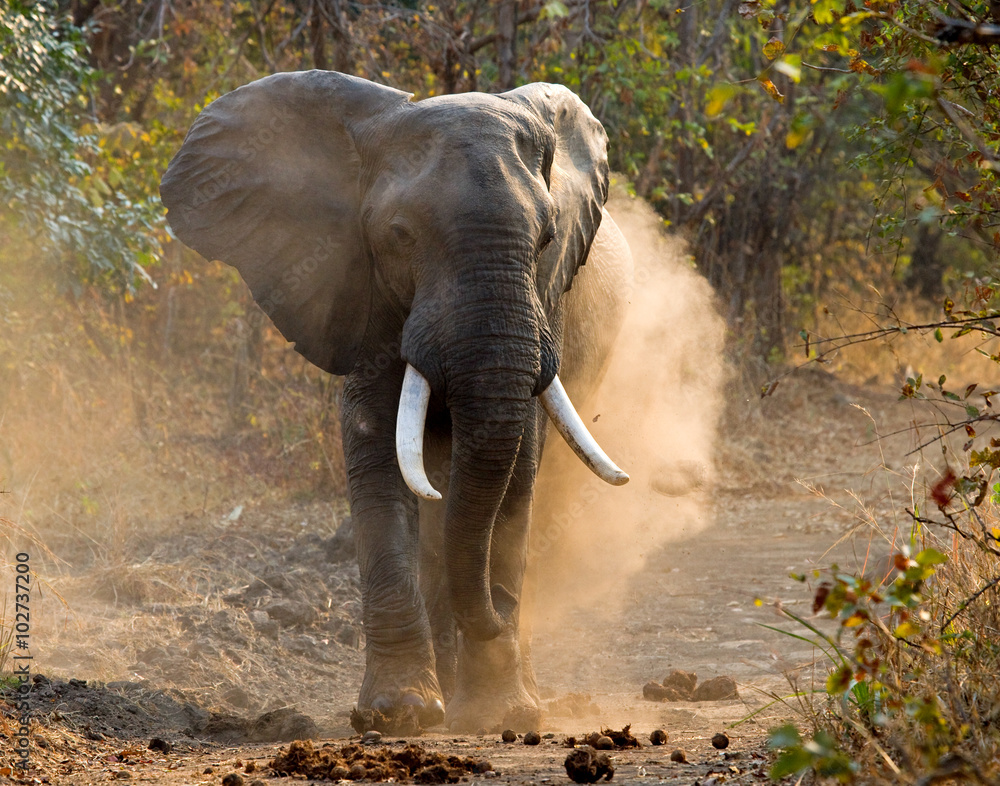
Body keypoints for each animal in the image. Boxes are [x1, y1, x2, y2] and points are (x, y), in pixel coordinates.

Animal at [159, 70, 634, 732]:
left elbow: (517, 469)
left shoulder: (549, 302)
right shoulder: (356, 285)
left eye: (545, 238)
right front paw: (399, 713)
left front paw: (500, 715)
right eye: (399, 235)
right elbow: (380, 451)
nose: (494, 616)